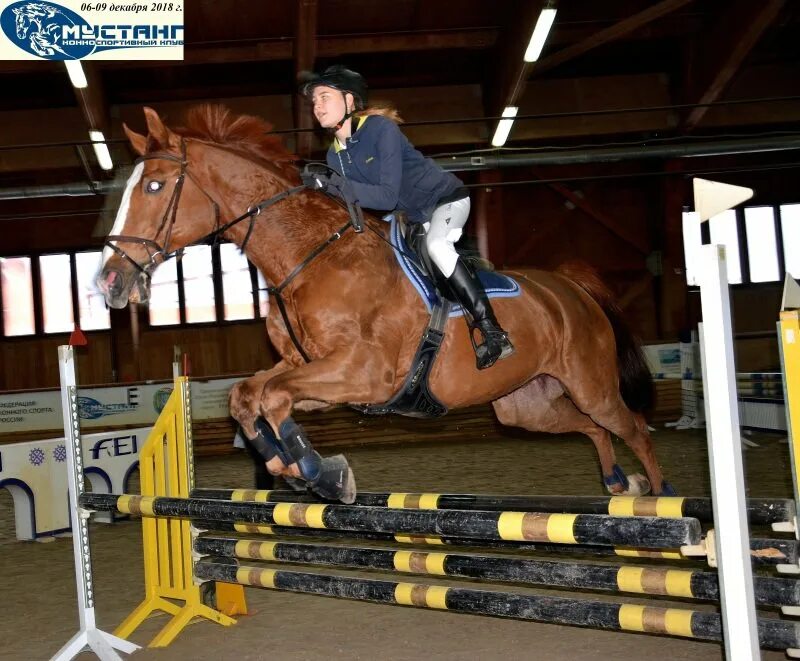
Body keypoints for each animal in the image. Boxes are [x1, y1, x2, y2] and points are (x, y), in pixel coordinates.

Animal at [95, 107, 676, 500]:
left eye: (153, 185)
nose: (108, 281)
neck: (308, 255)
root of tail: (570, 288)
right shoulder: (312, 369)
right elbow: (249, 396)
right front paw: (290, 468)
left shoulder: (364, 371)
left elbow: (273, 398)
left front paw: (321, 474)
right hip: (525, 405)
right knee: (594, 429)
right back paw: (617, 482)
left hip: (590, 384)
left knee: (633, 427)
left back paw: (663, 499)